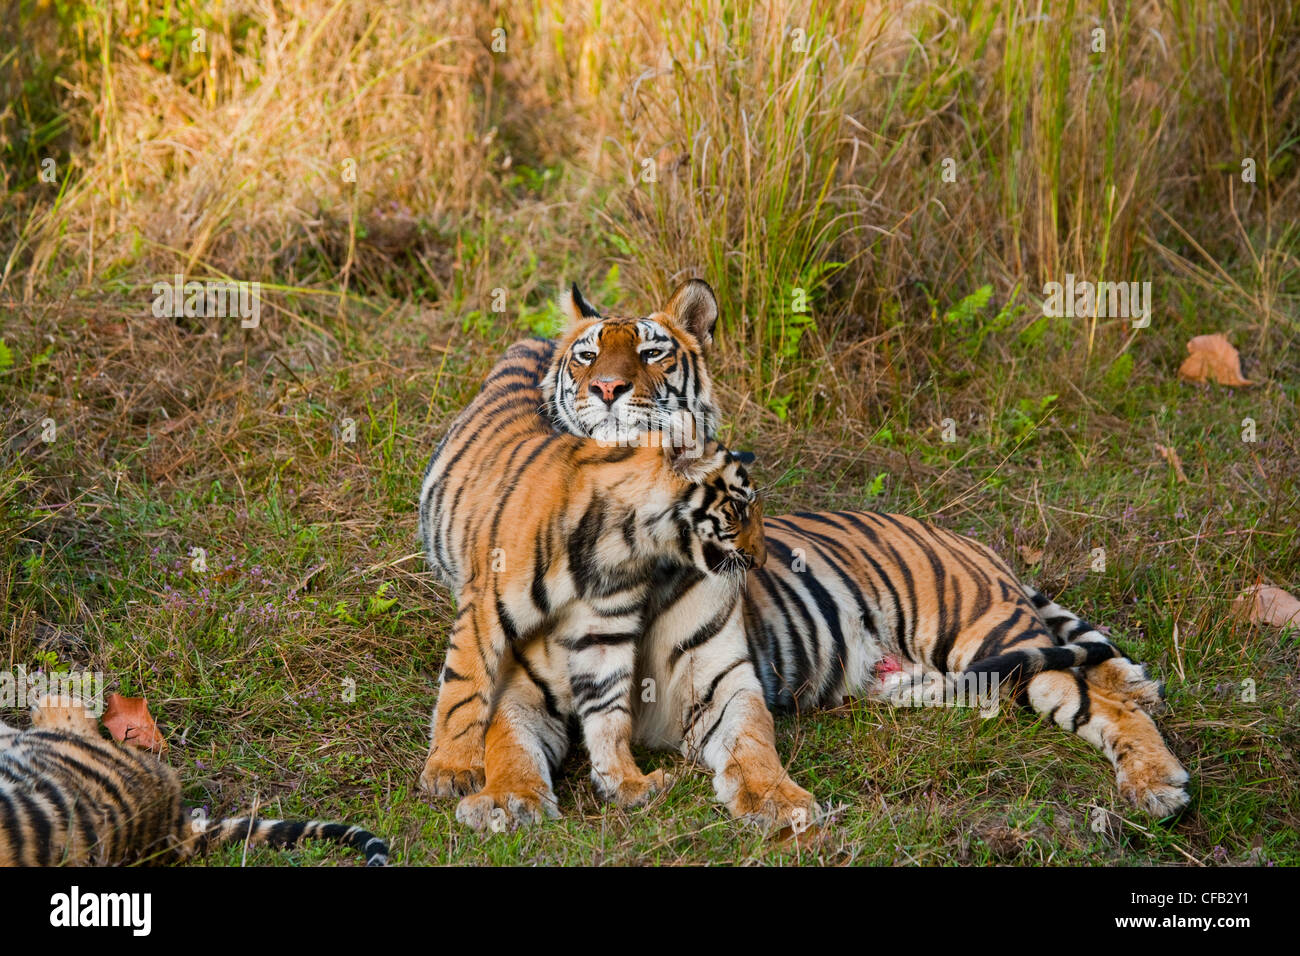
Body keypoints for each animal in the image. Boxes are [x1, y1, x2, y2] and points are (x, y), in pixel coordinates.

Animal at [423, 278, 1190, 832]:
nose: (605, 390)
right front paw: (506, 798)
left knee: (1101, 701)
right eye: (586, 355)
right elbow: (503, 742)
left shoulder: (724, 682)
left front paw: (779, 803)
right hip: (950, 675)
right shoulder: (522, 690)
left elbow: (752, 745)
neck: (637, 552)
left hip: (984, 636)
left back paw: (1158, 783)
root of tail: (969, 539)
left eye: (651, 352)